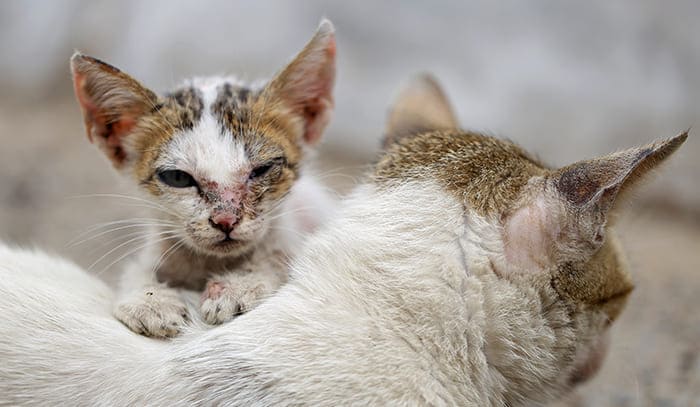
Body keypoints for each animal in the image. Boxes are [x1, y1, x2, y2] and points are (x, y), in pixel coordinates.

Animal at [69, 20, 338, 336]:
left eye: (260, 170)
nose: (226, 220)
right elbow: (137, 269)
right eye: (178, 178)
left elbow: (281, 256)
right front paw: (148, 300)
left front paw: (239, 286)